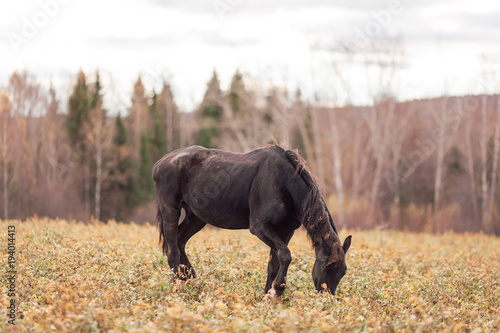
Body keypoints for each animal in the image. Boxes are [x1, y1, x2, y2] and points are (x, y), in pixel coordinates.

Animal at [152, 144, 352, 294]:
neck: (285, 184)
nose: (326, 296)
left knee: (180, 242)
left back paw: (190, 279)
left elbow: (275, 263)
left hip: (196, 217)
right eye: (327, 267)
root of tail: (160, 163)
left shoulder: (286, 230)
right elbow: (285, 255)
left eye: (342, 272)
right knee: (172, 250)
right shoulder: (259, 227)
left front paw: (270, 295)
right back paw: (179, 287)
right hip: (170, 209)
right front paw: (277, 289)